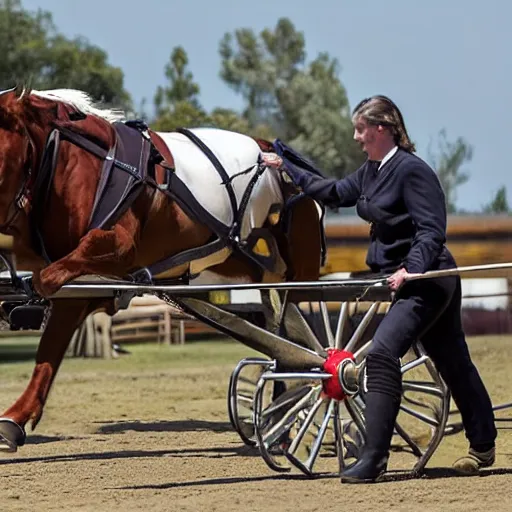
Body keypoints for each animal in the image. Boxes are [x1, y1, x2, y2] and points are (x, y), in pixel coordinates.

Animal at [0, 87, 322, 452]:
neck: (75, 165)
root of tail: (276, 156)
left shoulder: (116, 249)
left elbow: (49, 283)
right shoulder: (77, 288)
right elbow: (49, 351)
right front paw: (14, 420)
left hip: (297, 275)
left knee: (301, 342)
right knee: (282, 337)